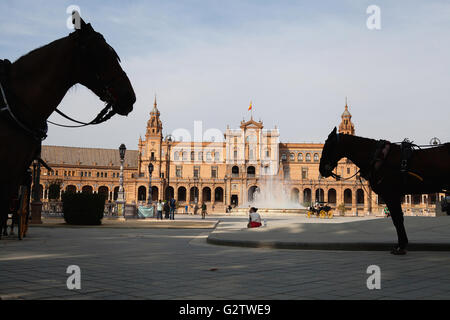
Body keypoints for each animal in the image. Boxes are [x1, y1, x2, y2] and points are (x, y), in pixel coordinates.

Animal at [318, 127, 448, 255]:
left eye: (327, 146)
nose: (321, 170)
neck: (377, 157)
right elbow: (397, 218)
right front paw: (401, 244)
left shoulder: (390, 194)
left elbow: (397, 219)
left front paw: (401, 247)